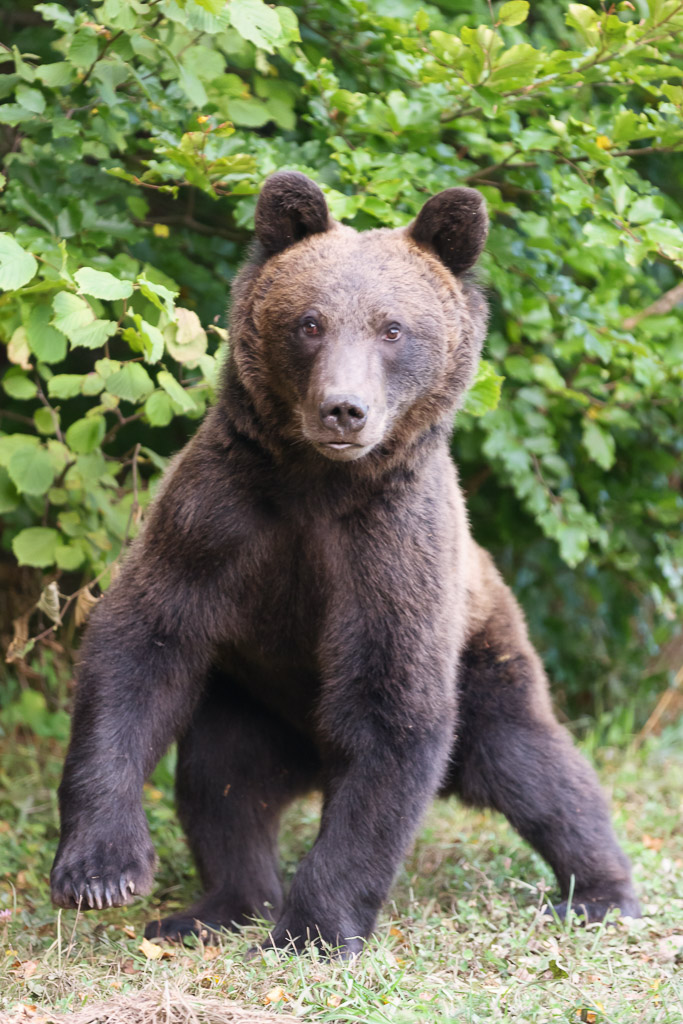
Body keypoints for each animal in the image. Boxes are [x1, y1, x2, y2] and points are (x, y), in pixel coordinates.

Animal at [50, 172, 640, 955]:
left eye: (393, 328)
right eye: (309, 322)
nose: (344, 410)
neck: (316, 484)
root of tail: (309, 761)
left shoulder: (390, 551)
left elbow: (393, 714)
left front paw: (315, 929)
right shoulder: (218, 520)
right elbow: (140, 648)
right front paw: (102, 872)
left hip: (484, 653)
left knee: (530, 766)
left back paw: (600, 892)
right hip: (247, 703)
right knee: (223, 788)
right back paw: (217, 908)